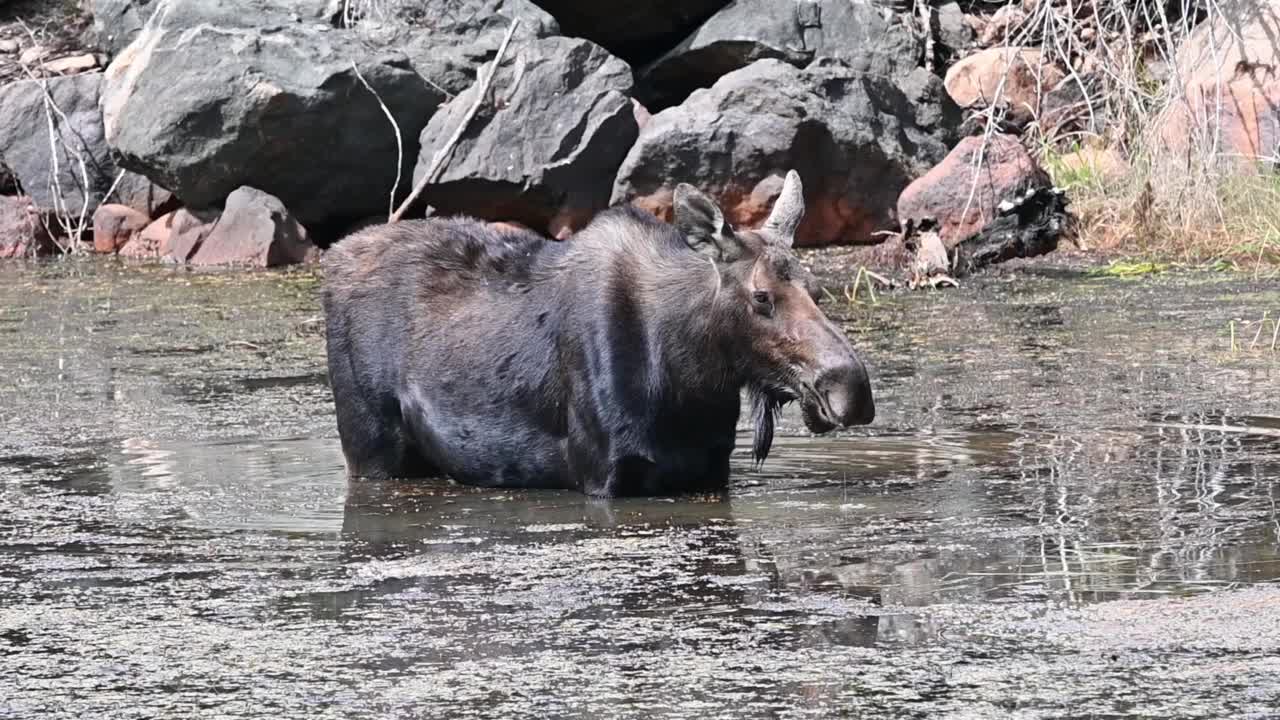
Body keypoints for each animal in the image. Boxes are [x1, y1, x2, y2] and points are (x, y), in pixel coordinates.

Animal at [325, 169, 875, 497]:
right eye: (761, 297)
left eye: (816, 288)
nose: (851, 389)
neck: (689, 376)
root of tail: (331, 260)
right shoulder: (602, 474)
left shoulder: (712, 470)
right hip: (370, 450)